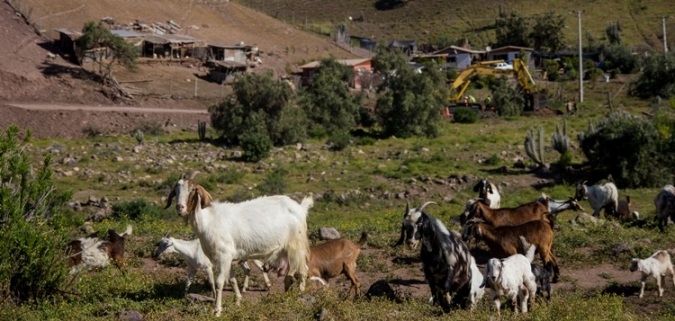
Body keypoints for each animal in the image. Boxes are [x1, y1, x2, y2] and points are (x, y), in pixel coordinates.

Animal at [165, 172, 312, 316]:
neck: (208, 221)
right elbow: (232, 280)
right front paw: (238, 301)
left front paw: (217, 310)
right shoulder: (228, 258)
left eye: (192, 190)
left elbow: (219, 283)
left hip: (297, 245)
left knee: (303, 269)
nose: (179, 208)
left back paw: (300, 294)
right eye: (176, 191)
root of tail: (300, 207)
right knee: (291, 274)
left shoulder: (223, 256)